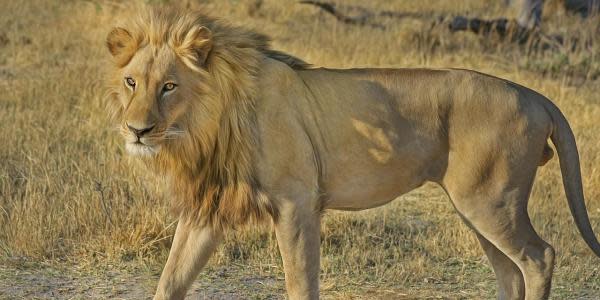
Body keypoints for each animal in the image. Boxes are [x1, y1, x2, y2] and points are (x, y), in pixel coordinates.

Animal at [105, 8, 596, 298]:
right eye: (132, 82)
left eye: (169, 86)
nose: (137, 130)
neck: (204, 127)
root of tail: (533, 94)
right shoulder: (207, 209)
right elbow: (171, 279)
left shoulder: (296, 203)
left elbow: (300, 282)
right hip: (477, 208)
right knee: (510, 270)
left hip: (490, 201)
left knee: (539, 257)